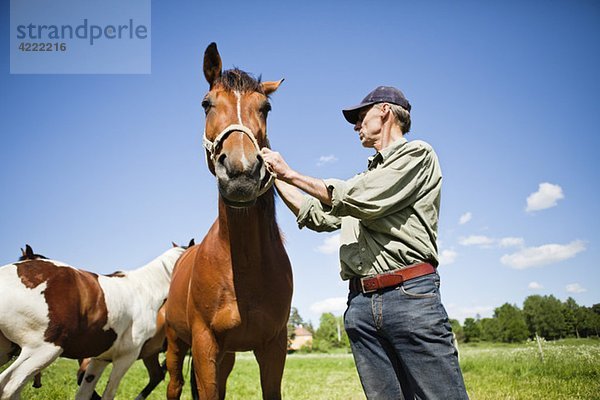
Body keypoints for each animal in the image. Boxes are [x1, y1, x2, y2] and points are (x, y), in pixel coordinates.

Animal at [0, 241, 191, 400]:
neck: (146, 289)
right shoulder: (125, 358)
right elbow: (108, 394)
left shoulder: (100, 359)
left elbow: (84, 393)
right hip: (42, 351)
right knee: (8, 387)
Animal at [165, 42, 294, 398]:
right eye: (206, 103)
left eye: (265, 108)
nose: (241, 172)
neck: (243, 267)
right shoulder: (205, 343)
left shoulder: (273, 346)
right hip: (175, 343)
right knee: (174, 385)